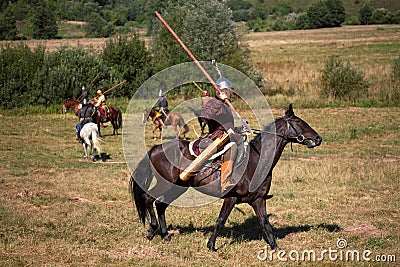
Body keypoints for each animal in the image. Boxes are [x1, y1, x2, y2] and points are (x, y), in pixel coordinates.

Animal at [131, 104, 322, 251]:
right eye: (298, 122)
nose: (318, 138)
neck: (255, 161)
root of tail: (156, 149)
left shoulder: (258, 200)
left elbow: (265, 224)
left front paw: (275, 248)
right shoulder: (231, 198)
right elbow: (220, 221)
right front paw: (211, 246)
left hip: (179, 186)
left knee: (160, 204)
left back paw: (164, 235)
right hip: (167, 183)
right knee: (148, 198)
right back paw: (152, 230)